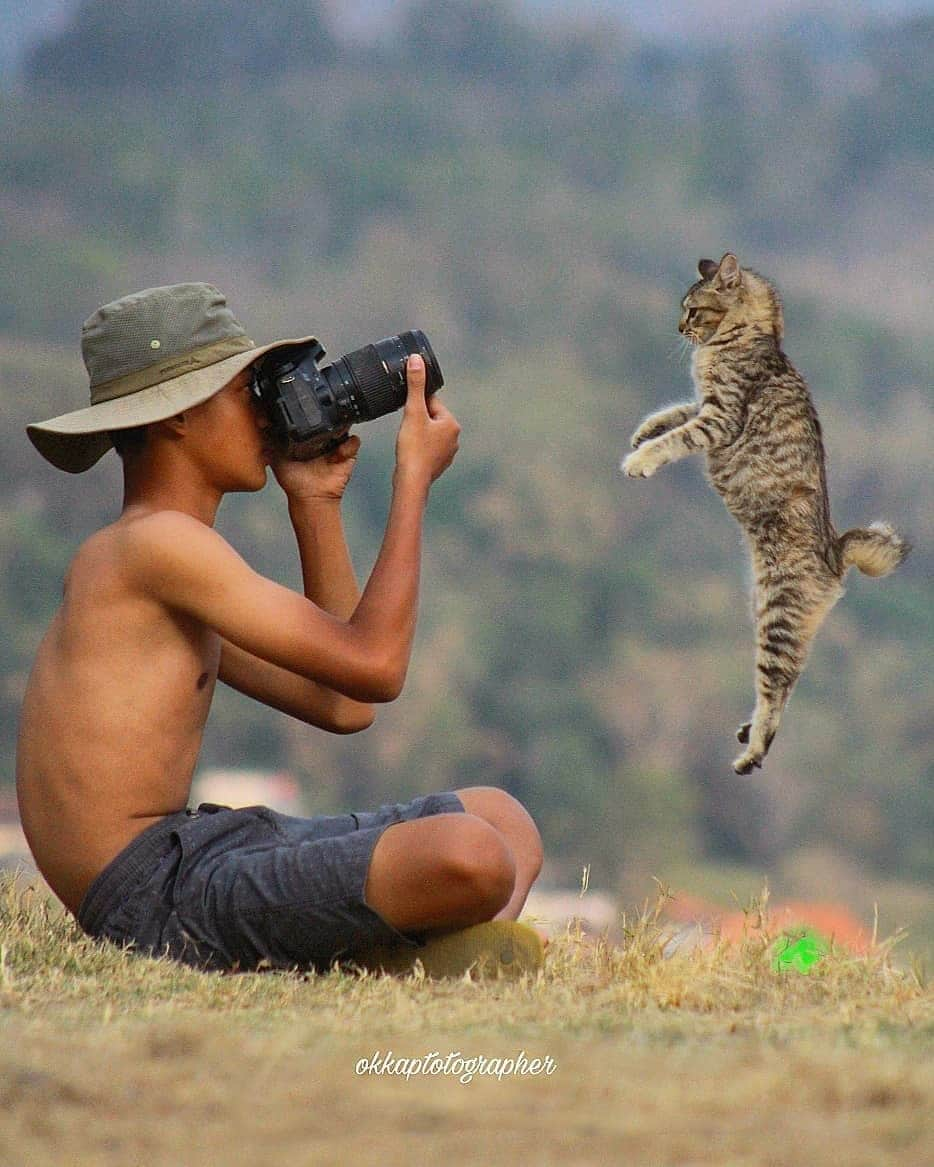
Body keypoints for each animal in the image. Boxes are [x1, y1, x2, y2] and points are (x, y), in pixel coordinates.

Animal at [625, 250, 910, 770]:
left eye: (692, 310)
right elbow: (673, 413)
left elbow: (677, 436)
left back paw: (751, 751)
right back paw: (747, 731)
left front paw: (641, 459)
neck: (750, 334)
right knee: (785, 686)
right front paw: (644, 432)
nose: (679, 328)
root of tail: (836, 555)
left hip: (778, 618)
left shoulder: (719, 416)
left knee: (776, 694)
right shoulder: (704, 406)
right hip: (767, 616)